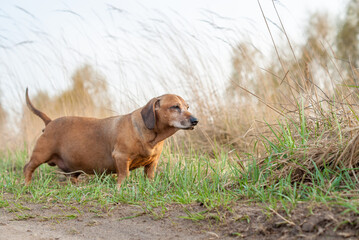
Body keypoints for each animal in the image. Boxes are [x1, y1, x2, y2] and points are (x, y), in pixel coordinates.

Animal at [24, 89, 200, 188]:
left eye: (187, 107)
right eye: (175, 107)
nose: (195, 121)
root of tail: (50, 122)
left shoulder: (152, 163)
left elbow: (149, 177)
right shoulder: (121, 157)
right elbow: (124, 175)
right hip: (40, 154)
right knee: (28, 168)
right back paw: (27, 185)